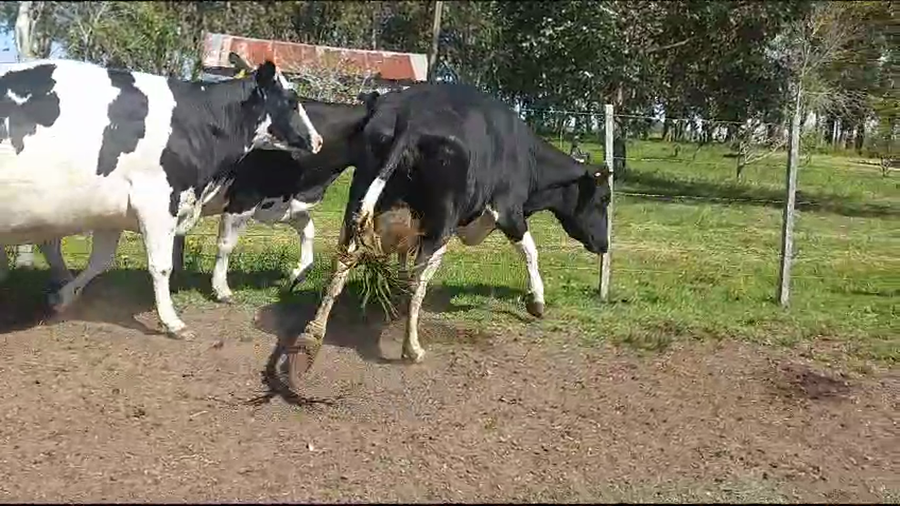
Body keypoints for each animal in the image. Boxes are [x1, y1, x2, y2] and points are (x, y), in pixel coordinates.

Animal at [0, 55, 323, 339]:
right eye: (292, 101)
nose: (318, 140)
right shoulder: (158, 202)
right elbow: (161, 266)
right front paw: (172, 322)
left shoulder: (112, 211)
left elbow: (100, 261)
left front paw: (63, 298)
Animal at [285, 82, 612, 387]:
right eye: (604, 199)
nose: (604, 244)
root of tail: (412, 118)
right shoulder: (509, 211)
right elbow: (530, 251)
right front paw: (537, 302)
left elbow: (402, 256)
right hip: (442, 224)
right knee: (420, 281)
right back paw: (412, 348)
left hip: (360, 198)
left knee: (342, 261)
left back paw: (311, 337)